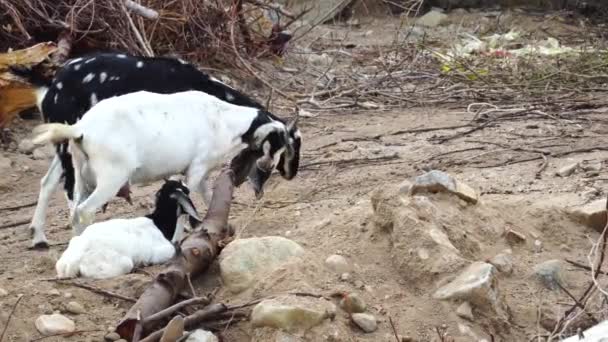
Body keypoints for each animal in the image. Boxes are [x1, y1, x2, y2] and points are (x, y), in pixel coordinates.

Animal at [33, 89, 300, 238]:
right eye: (281, 142)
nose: (271, 169)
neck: (224, 120)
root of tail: (81, 129)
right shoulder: (195, 170)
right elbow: (186, 200)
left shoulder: (198, 173)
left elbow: (208, 196)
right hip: (111, 178)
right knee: (84, 211)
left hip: (82, 175)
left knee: (73, 209)